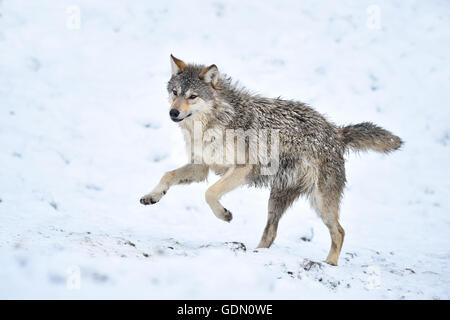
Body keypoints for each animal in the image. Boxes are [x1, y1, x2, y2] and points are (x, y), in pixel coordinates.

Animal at [139, 54, 402, 264]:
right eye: (175, 92)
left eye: (192, 96)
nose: (173, 112)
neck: (215, 122)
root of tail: (336, 132)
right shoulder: (201, 167)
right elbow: (168, 175)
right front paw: (152, 196)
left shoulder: (242, 168)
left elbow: (210, 193)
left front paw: (225, 215)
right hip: (276, 199)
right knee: (271, 233)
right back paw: (256, 254)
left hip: (319, 202)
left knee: (340, 232)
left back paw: (330, 264)